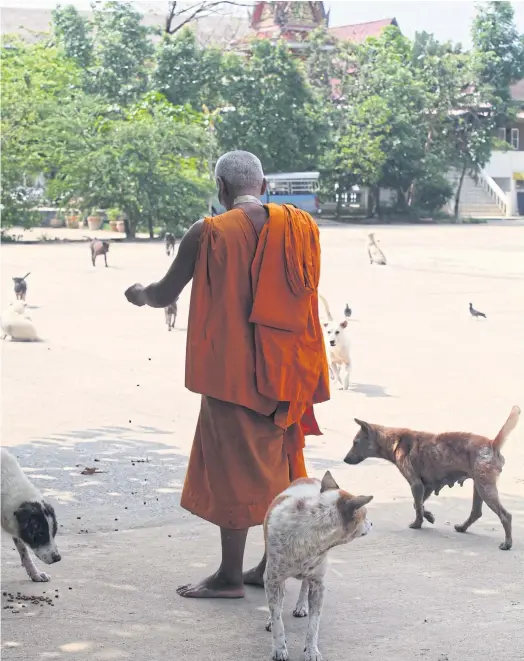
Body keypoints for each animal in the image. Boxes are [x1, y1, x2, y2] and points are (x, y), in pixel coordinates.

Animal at [266, 470, 372, 660]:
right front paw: (279, 648)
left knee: (303, 584)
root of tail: (308, 478)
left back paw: (301, 606)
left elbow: (314, 625)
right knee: (279, 599)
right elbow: (277, 616)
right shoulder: (272, 579)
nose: (372, 524)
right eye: (365, 515)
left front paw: (312, 650)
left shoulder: (318, 585)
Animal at [344, 404, 520, 548]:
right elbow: (418, 504)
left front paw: (418, 523)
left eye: (355, 442)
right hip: (479, 486)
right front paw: (428, 516)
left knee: (506, 516)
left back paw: (507, 543)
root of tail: (492, 444)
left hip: (485, 488)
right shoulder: (426, 486)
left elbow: (417, 506)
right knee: (476, 512)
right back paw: (462, 527)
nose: (345, 459)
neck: (396, 441)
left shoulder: (416, 484)